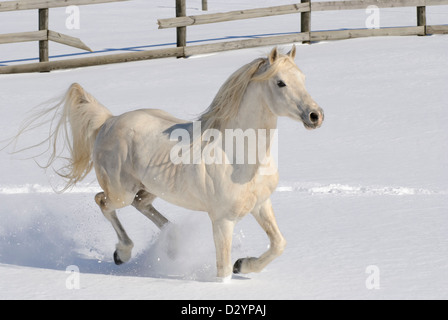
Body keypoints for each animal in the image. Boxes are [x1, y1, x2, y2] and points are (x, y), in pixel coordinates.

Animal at [14, 46, 322, 282]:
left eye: (303, 78)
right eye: (280, 82)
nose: (315, 115)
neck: (237, 156)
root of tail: (108, 122)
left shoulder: (261, 204)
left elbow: (279, 244)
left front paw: (242, 265)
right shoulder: (222, 220)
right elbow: (222, 272)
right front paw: (230, 274)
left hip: (151, 188)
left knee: (142, 205)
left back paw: (171, 243)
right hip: (121, 191)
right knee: (103, 201)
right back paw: (122, 253)